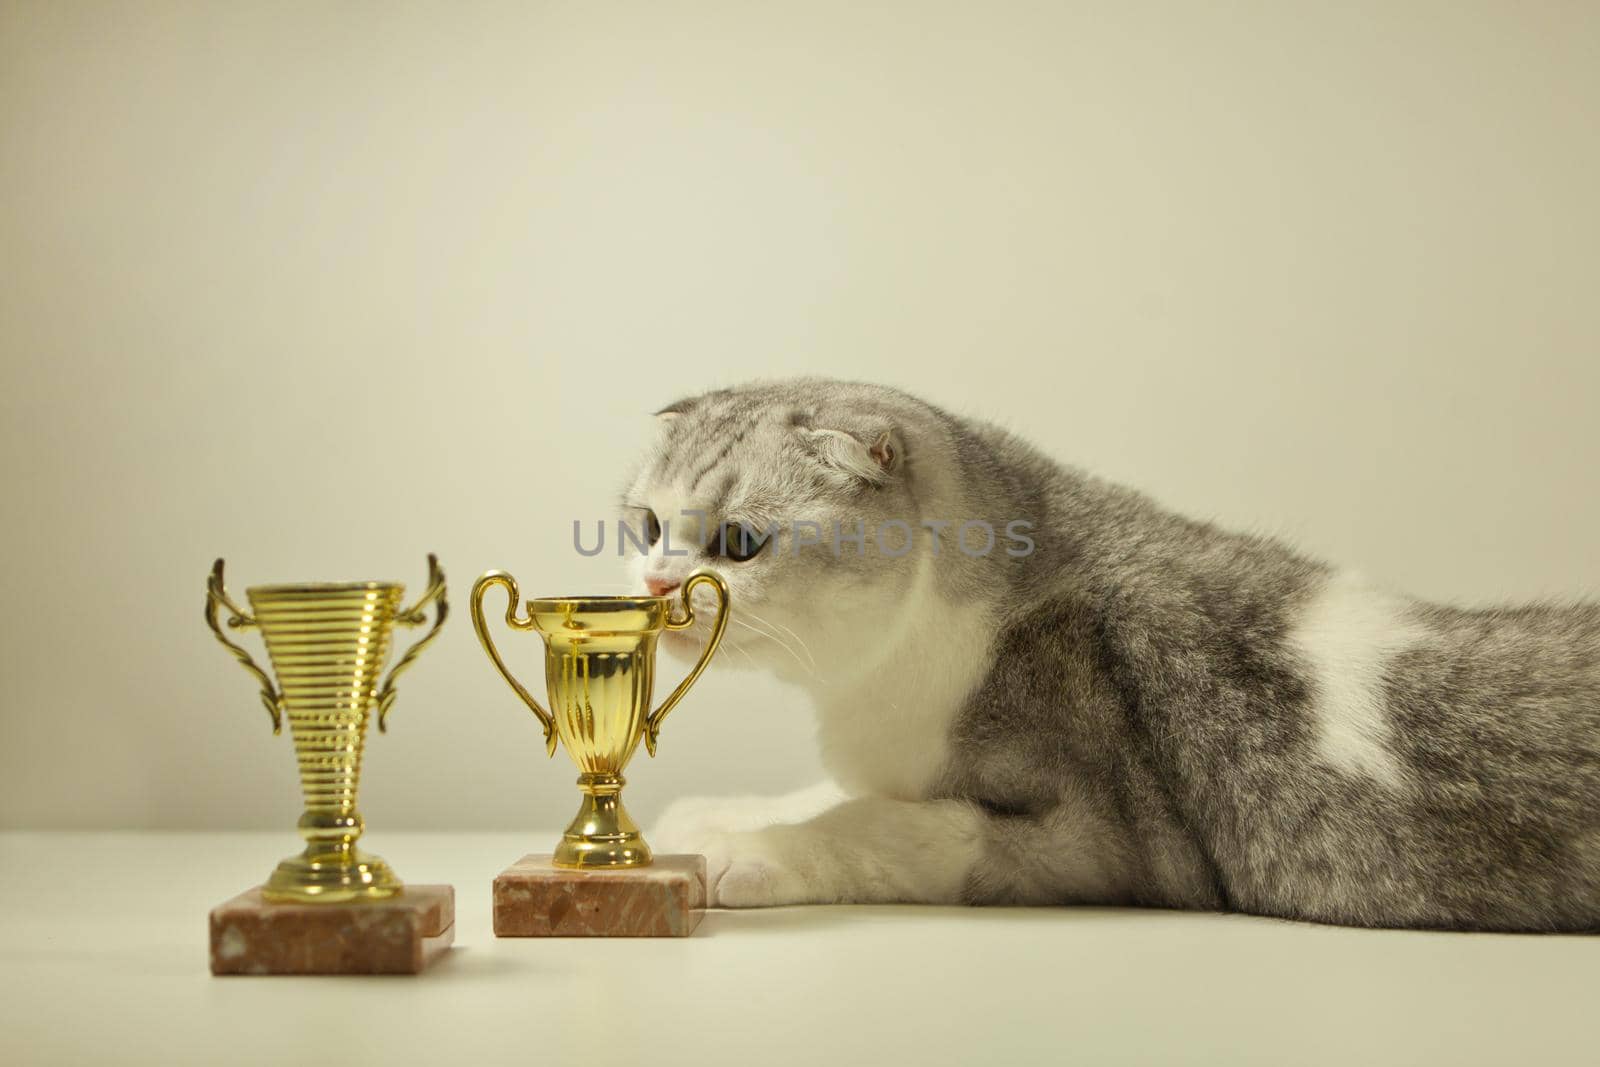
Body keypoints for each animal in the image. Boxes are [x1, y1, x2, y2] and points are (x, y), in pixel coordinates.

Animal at [624, 379, 1600, 927]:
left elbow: (880, 824)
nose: (658, 586)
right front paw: (715, 815)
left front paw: (748, 851)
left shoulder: (1092, 841)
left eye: (739, 543)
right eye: (645, 527)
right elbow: (838, 792)